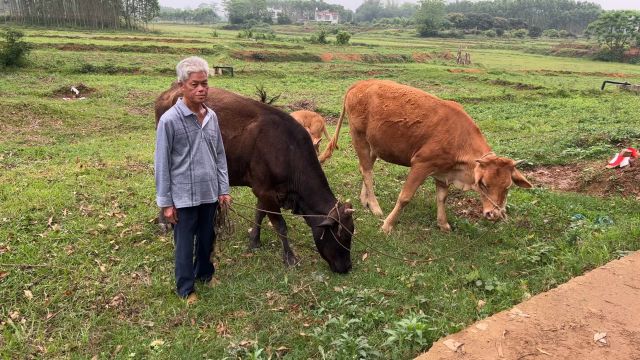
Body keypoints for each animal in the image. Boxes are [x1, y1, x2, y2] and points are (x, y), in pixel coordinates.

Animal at [156, 82, 356, 272]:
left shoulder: (265, 190)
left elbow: (259, 213)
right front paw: (290, 257)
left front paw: (254, 240)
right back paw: (164, 222)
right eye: (342, 236)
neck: (288, 149)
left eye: (351, 233)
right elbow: (280, 225)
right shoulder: (265, 190)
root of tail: (170, 91)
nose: (347, 267)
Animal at [318, 79, 532, 233]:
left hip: (373, 146)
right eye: (484, 185)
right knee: (367, 172)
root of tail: (360, 84)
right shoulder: (421, 164)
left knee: (365, 169)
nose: (493, 214)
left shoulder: (443, 171)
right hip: (359, 137)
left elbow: (442, 198)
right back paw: (376, 206)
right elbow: (404, 197)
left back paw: (366, 201)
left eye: (507, 187)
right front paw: (387, 225)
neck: (459, 138)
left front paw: (443, 224)